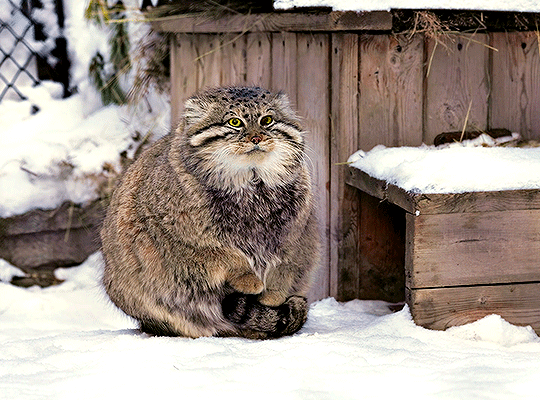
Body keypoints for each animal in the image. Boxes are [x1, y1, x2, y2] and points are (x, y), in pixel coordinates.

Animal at [100, 85, 318, 338]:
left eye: (267, 120)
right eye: (235, 122)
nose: (257, 137)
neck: (252, 185)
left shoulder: (295, 238)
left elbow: (282, 270)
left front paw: (271, 297)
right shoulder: (181, 239)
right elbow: (227, 256)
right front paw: (249, 279)